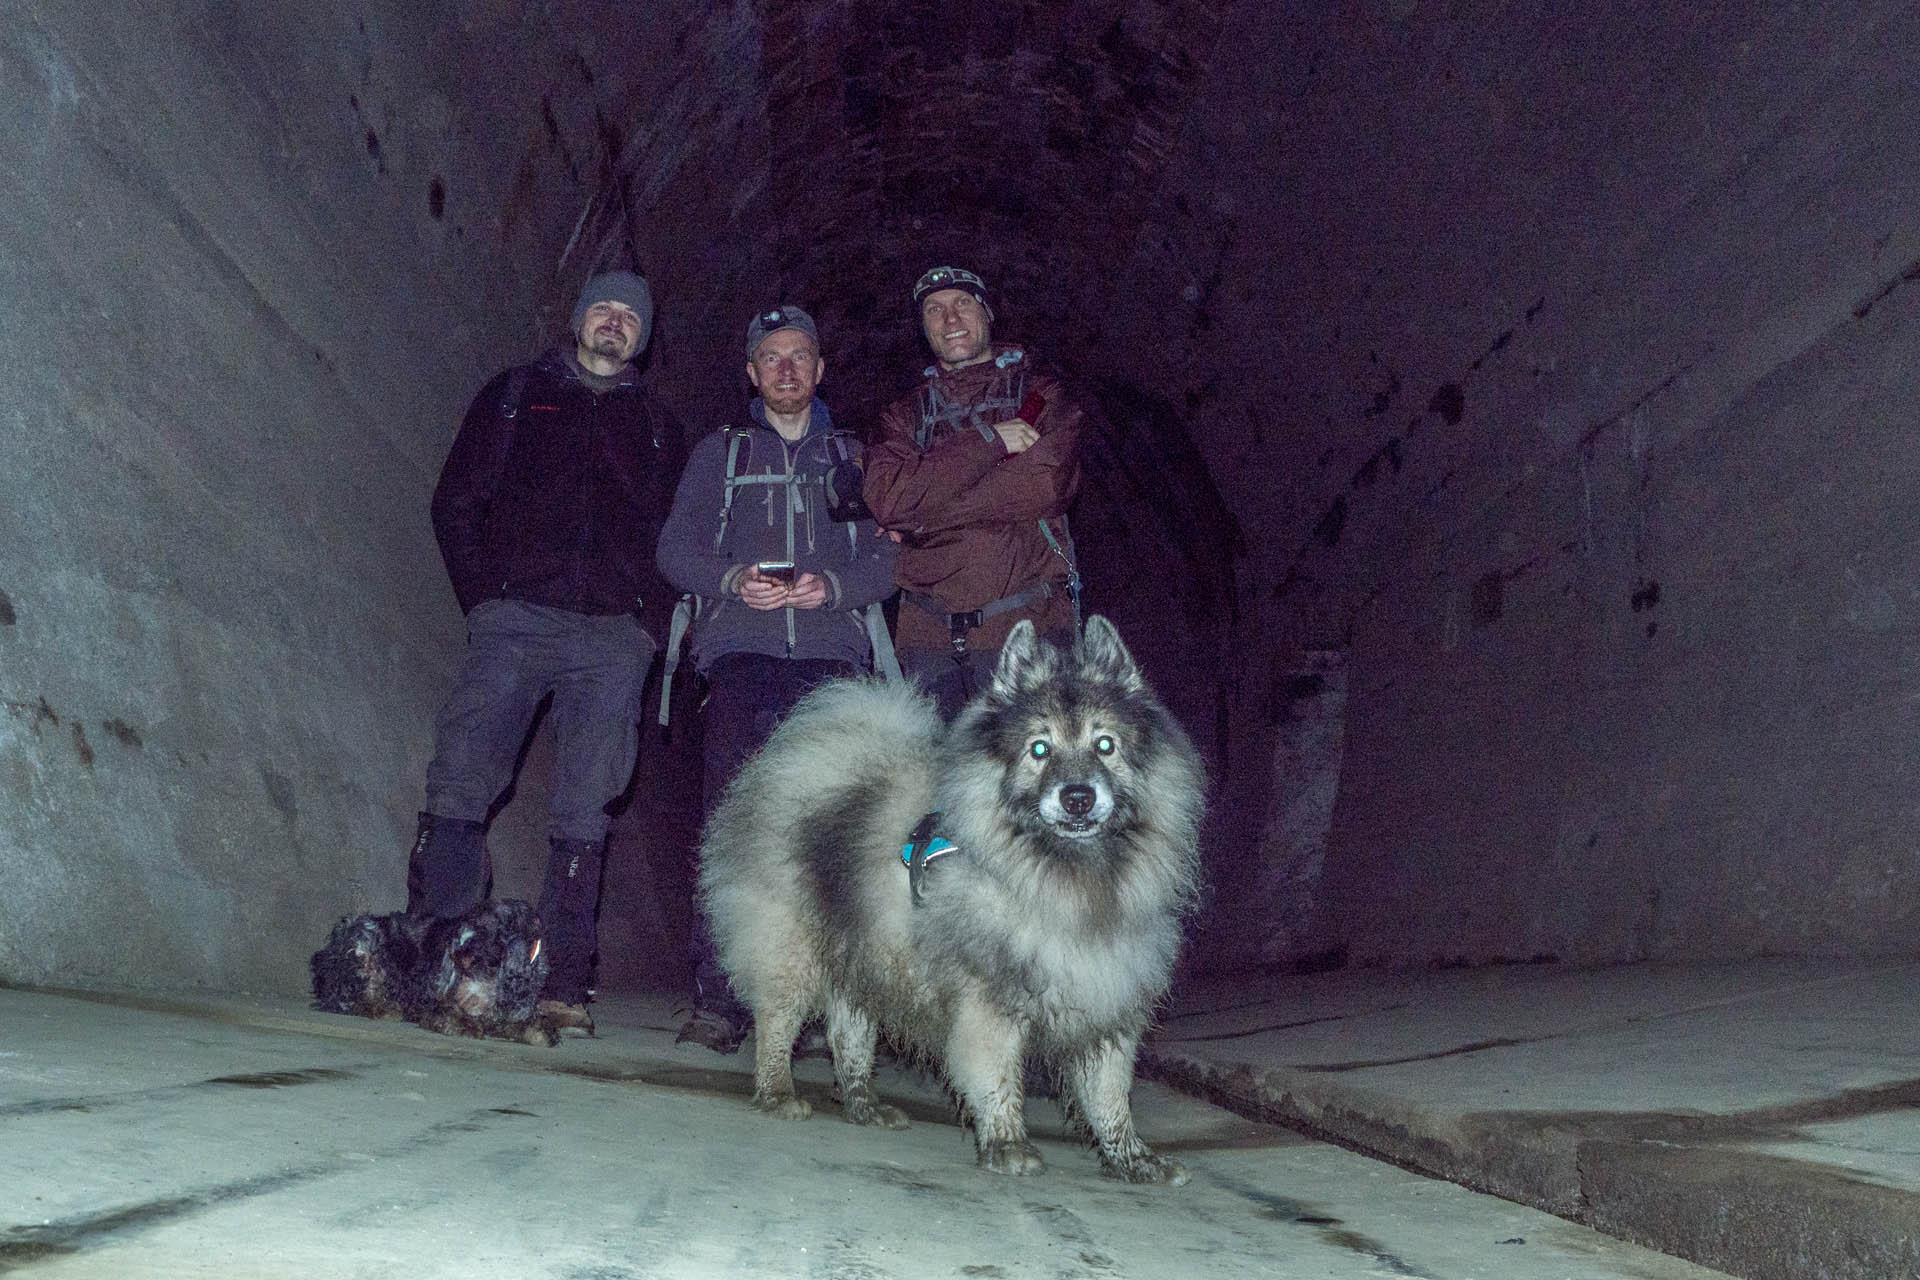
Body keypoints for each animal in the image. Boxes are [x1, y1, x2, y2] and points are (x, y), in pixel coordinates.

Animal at [311, 898, 564, 1043]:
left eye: (474, 963)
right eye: (454, 960)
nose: (443, 998)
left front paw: (538, 1031)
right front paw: (462, 1023)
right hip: (364, 941)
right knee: (348, 999)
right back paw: (385, 1008)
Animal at [698, 614, 1205, 1189]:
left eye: (1105, 745)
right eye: (1039, 750)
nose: (1077, 796)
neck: (1066, 876)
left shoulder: (1107, 997)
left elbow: (1110, 1095)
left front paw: (1133, 1159)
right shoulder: (989, 1005)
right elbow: (997, 1078)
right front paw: (1007, 1144)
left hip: (863, 954)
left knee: (850, 1034)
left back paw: (863, 1104)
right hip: (791, 950)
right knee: (777, 1023)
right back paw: (778, 1093)